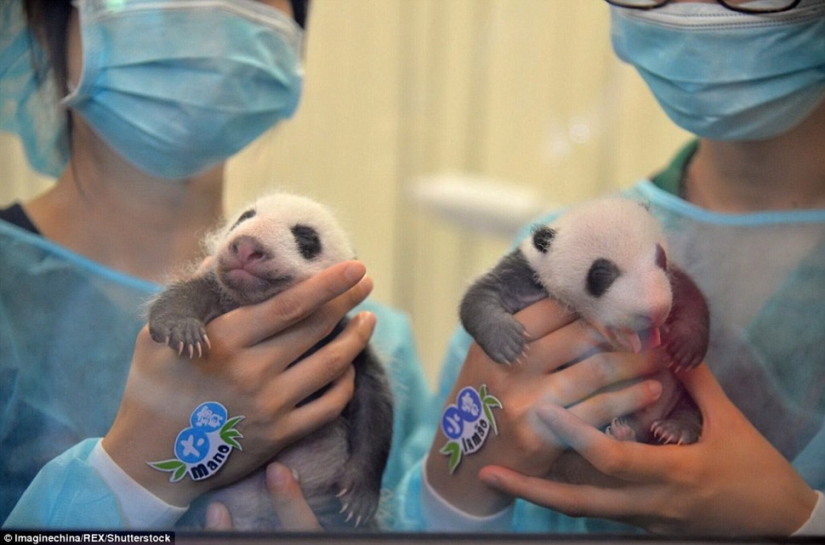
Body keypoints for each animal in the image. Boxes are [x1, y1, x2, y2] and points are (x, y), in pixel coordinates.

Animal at [148, 192, 393, 529]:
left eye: (306, 237)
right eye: (244, 218)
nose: (247, 247)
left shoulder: (344, 346)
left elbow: (374, 405)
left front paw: (359, 495)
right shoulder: (220, 293)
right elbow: (186, 293)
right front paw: (181, 329)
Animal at [459, 198, 709, 445]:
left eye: (661, 258)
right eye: (600, 275)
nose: (656, 310)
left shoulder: (671, 281)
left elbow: (689, 294)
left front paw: (685, 346)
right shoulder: (528, 273)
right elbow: (482, 294)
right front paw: (506, 343)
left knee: (687, 407)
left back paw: (674, 429)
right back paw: (626, 434)